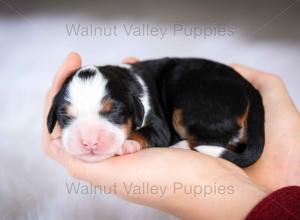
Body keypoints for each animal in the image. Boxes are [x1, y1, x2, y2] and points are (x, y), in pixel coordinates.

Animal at [45, 58, 264, 167]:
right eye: (65, 116)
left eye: (114, 111)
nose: (89, 141)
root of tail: (250, 88)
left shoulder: (157, 123)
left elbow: (148, 132)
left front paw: (128, 143)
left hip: (192, 107)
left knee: (212, 141)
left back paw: (181, 147)